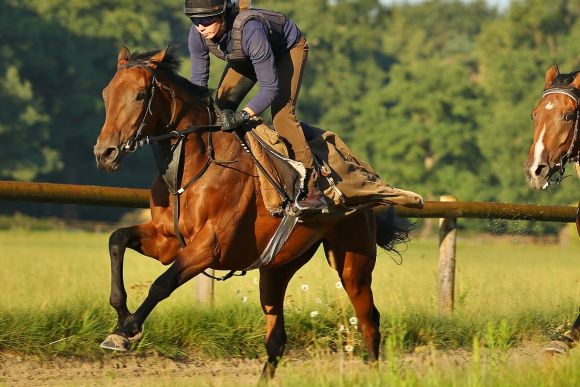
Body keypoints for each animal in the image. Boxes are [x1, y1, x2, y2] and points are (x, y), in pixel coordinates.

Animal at [93, 47, 416, 380]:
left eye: (140, 95)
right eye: (107, 93)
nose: (104, 153)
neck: (191, 169)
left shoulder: (209, 247)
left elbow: (161, 284)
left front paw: (127, 329)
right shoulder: (167, 239)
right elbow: (117, 240)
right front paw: (120, 316)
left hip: (353, 264)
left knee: (370, 323)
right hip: (276, 268)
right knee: (277, 339)